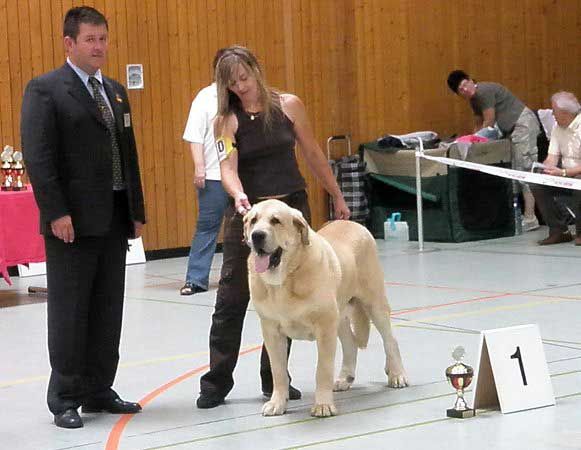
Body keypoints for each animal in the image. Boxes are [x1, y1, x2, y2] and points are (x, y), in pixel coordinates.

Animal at [245, 199, 408, 416]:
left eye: (275, 221)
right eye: (253, 220)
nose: (257, 235)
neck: (285, 280)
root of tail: (354, 223)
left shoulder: (324, 328)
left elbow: (322, 370)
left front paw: (323, 405)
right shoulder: (272, 332)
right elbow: (278, 371)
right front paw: (277, 403)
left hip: (374, 304)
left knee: (390, 340)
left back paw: (397, 374)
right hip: (340, 317)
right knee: (350, 343)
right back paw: (345, 378)